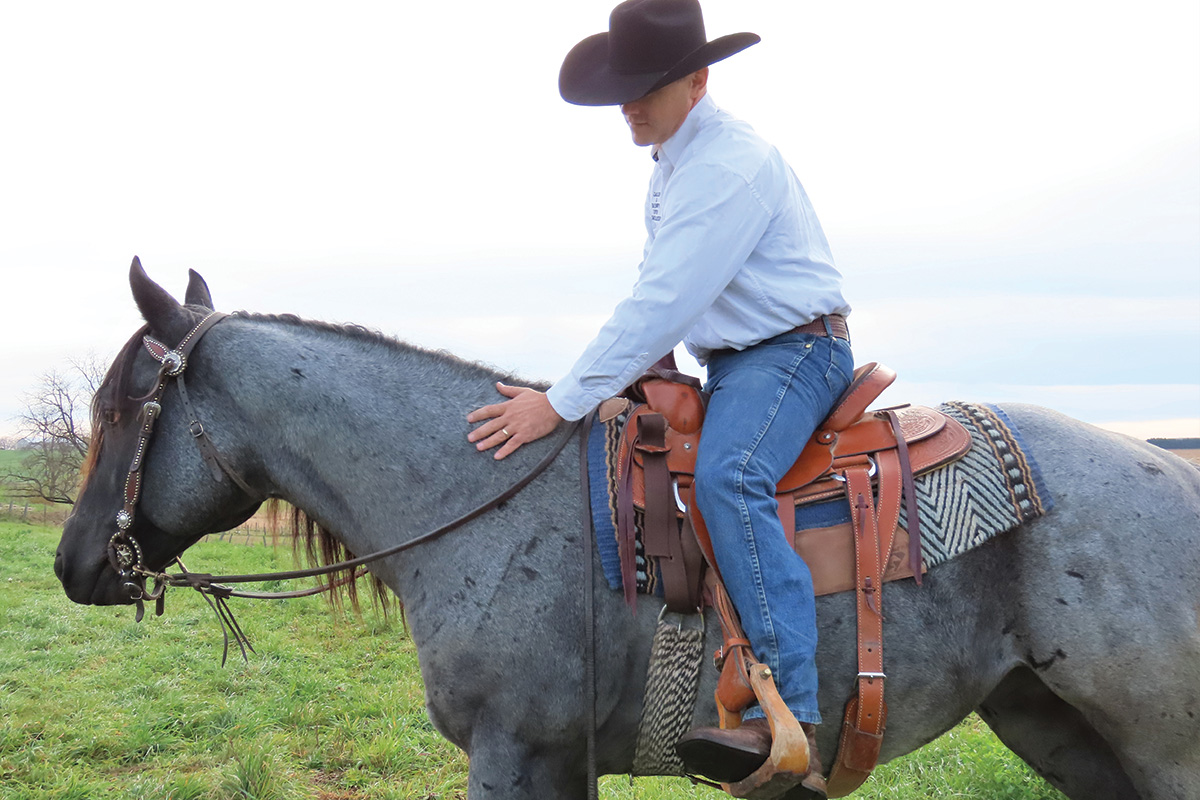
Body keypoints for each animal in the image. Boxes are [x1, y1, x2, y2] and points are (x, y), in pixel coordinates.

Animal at [51, 266, 1195, 796]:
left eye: (118, 406)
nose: (73, 565)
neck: (475, 498)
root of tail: (1174, 477)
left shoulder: (511, 751)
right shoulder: (560, 759)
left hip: (1157, 738)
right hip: (1051, 722)